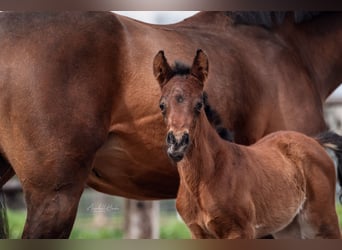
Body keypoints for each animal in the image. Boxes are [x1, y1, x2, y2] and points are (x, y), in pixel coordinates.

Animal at [154, 49, 342, 238]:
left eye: (199, 104)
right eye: (162, 105)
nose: (177, 143)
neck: (205, 178)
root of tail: (314, 141)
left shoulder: (241, 231)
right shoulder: (198, 233)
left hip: (324, 220)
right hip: (289, 227)